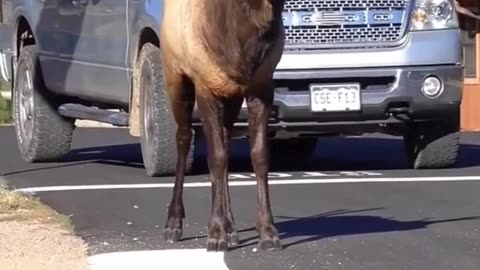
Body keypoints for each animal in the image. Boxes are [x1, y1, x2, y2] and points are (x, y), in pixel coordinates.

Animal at [159, 0, 286, 252]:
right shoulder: (205, 86)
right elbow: (215, 158)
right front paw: (215, 233)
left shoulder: (262, 86)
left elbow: (260, 156)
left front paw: (268, 231)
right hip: (175, 78)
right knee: (184, 138)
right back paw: (174, 223)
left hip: (232, 98)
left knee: (226, 141)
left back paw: (232, 228)